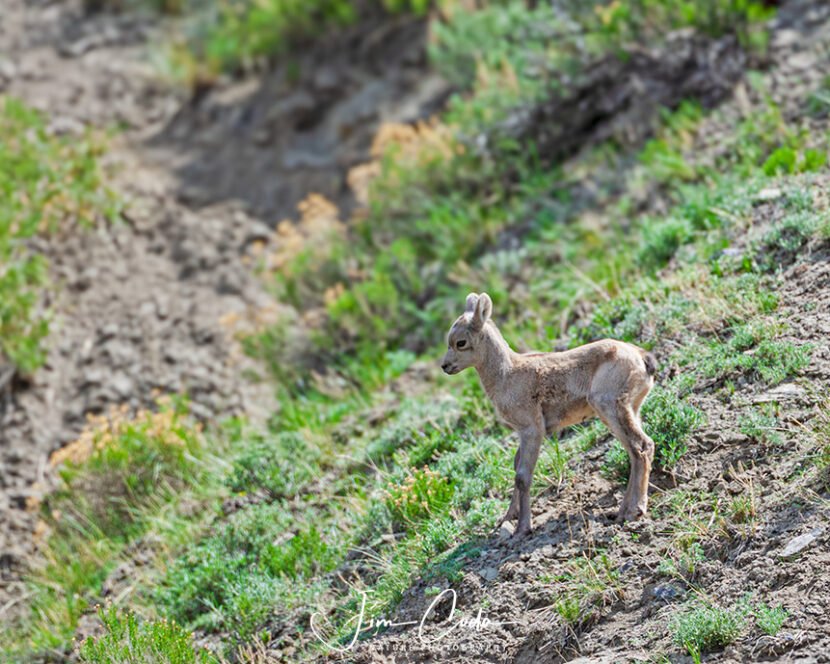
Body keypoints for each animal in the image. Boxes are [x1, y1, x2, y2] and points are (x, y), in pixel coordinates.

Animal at [441, 292, 658, 538]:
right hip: (630, 409)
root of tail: (642, 358)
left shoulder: (532, 430)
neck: (506, 374)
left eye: (460, 342)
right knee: (634, 451)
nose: (445, 366)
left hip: (608, 407)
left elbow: (522, 476)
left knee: (641, 446)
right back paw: (621, 513)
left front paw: (522, 529)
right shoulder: (523, 433)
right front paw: (507, 518)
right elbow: (516, 468)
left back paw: (635, 511)